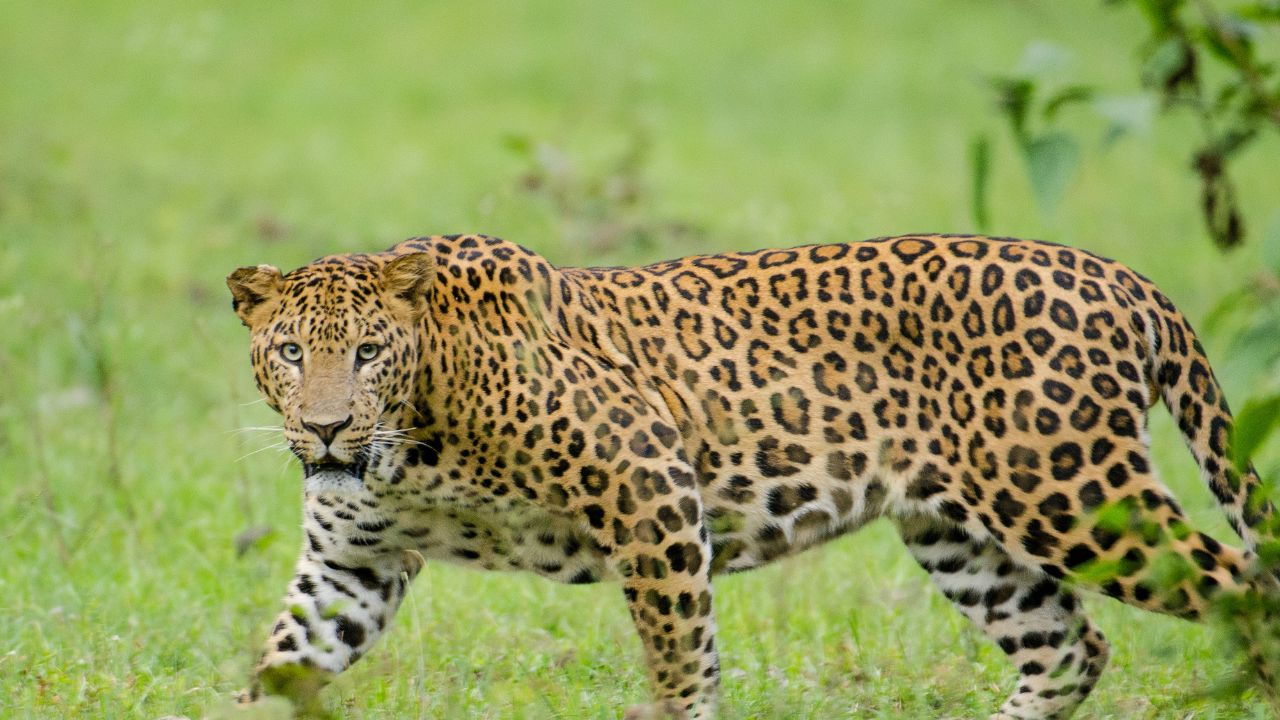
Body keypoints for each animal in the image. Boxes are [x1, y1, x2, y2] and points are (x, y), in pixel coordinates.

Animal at [226, 233, 1278, 719]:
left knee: (1245, 587)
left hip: (1074, 496)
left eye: (367, 352)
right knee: (1069, 648)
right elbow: (281, 664)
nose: (325, 429)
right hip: (961, 533)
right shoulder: (351, 567)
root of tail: (1123, 276)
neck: (410, 445)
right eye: (290, 352)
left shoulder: (648, 484)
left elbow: (680, 656)